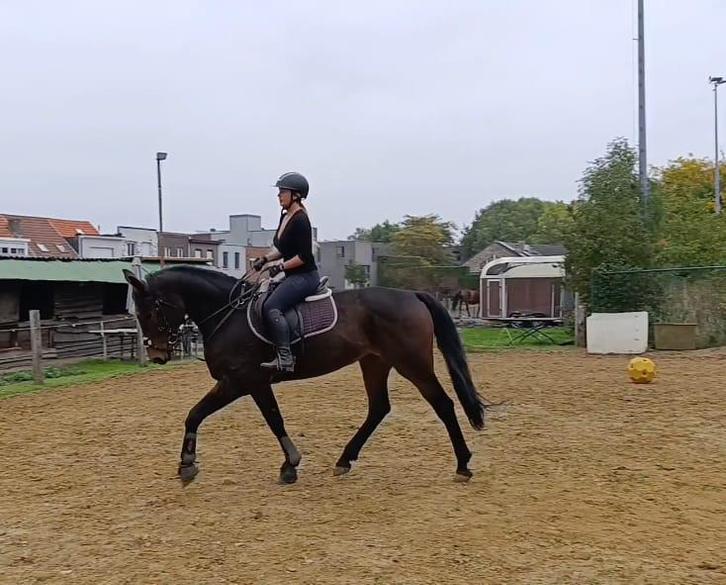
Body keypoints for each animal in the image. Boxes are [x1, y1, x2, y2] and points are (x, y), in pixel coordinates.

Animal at [123, 265, 488, 485]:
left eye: (151, 311)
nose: (157, 356)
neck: (229, 316)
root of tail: (412, 294)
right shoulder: (247, 384)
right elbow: (205, 415)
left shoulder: (242, 382)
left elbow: (228, 416)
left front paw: (188, 465)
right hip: (374, 362)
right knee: (379, 408)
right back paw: (344, 460)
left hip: (412, 364)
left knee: (444, 405)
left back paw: (463, 465)